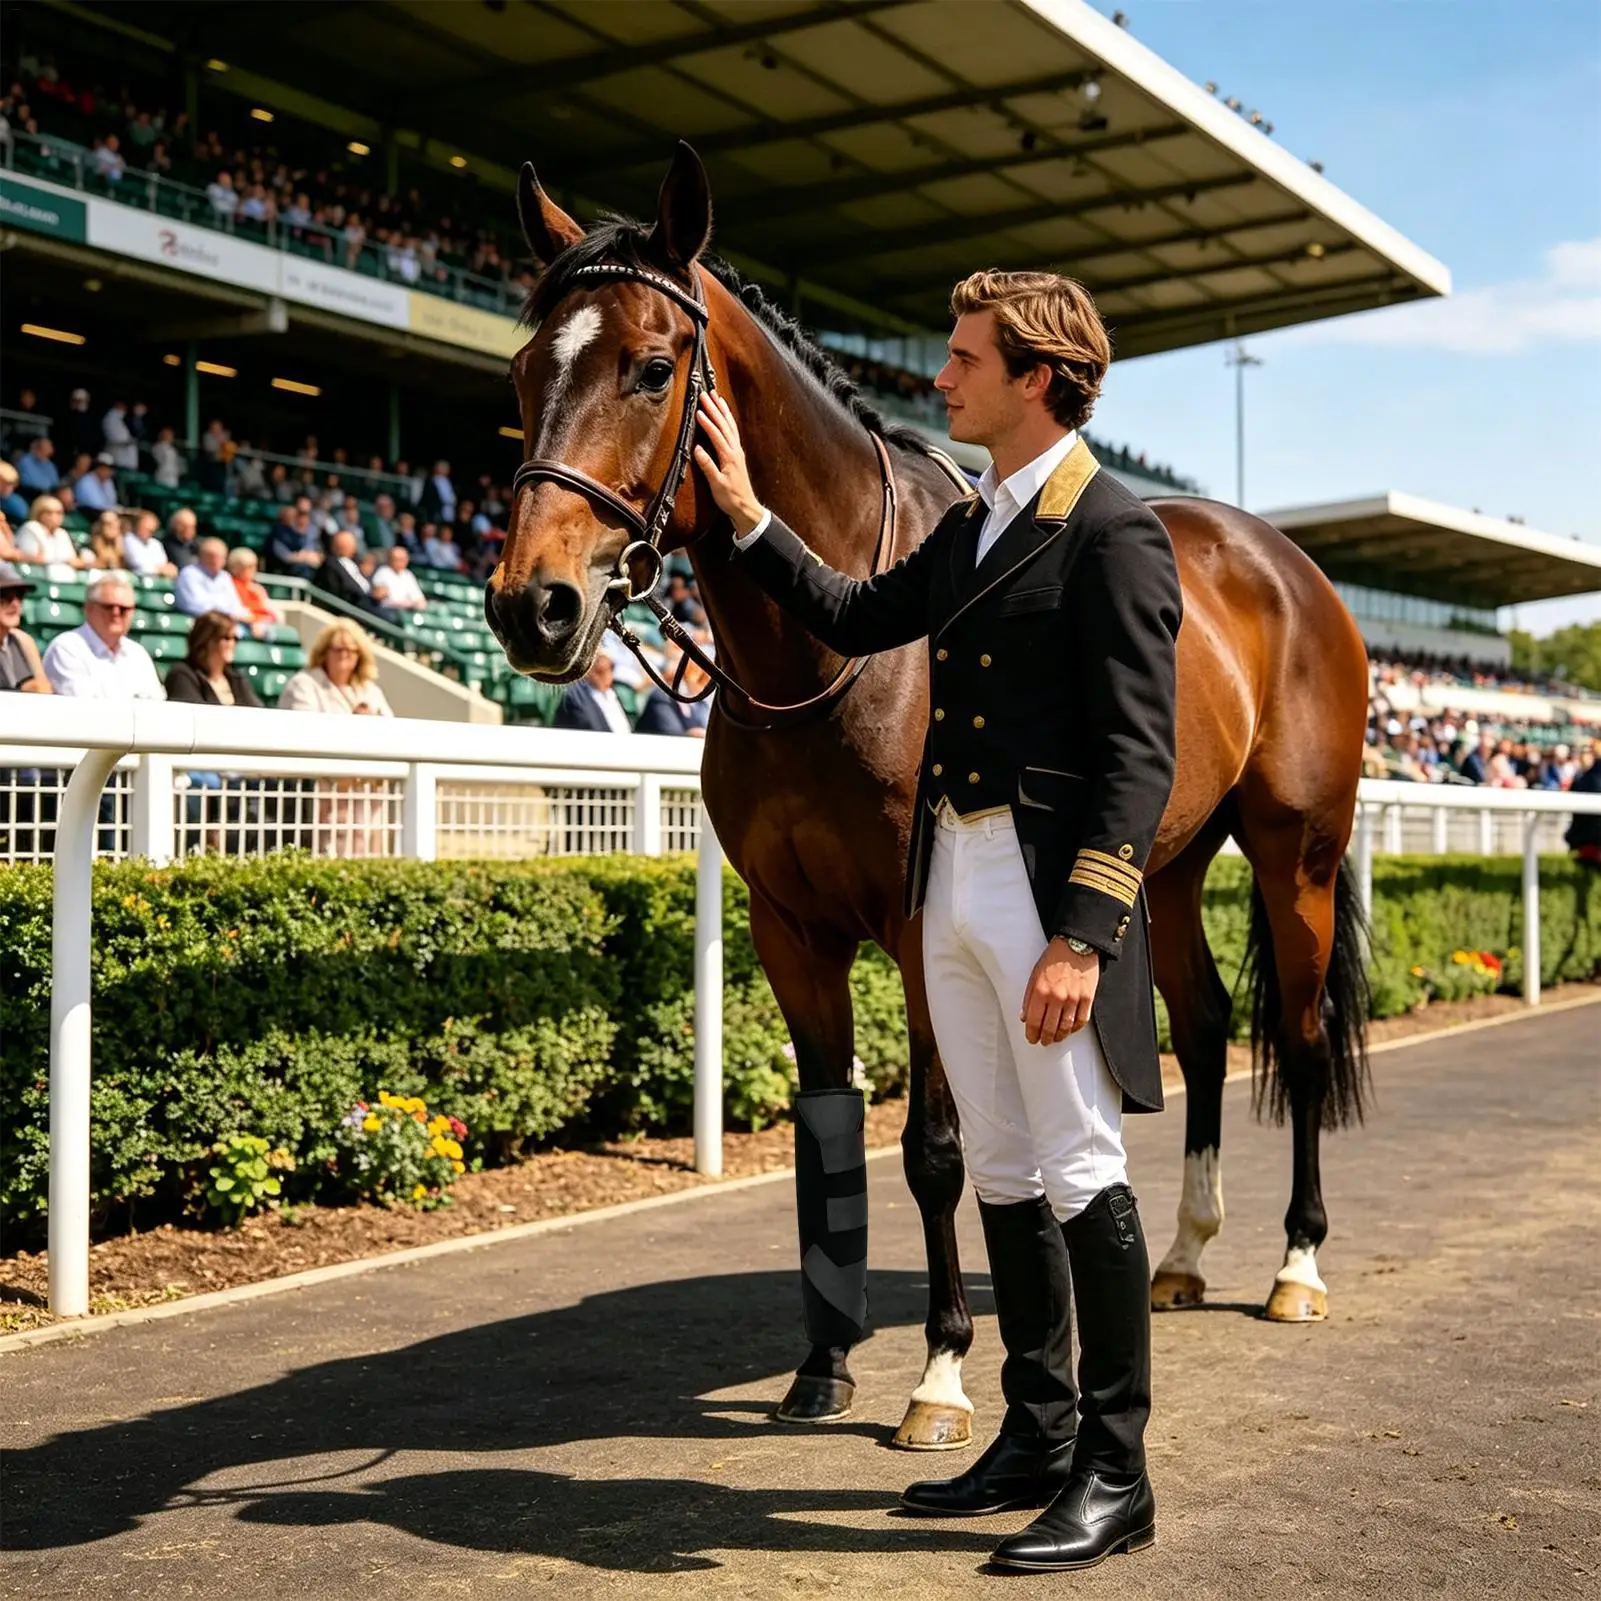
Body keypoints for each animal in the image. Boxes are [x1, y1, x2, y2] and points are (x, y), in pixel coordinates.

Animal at [485, 143, 1372, 1451]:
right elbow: (827, 1128)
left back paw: (1293, 1266)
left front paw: (942, 1372)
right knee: (1205, 1028)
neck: (824, 654)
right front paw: (822, 1362)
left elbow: (937, 1144)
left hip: (1292, 849)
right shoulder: (787, 929)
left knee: (1299, 1040)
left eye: (650, 367)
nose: (530, 605)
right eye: (521, 369)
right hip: (1154, 862)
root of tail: (1281, 563)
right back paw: (1179, 1254)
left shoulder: (918, 925)